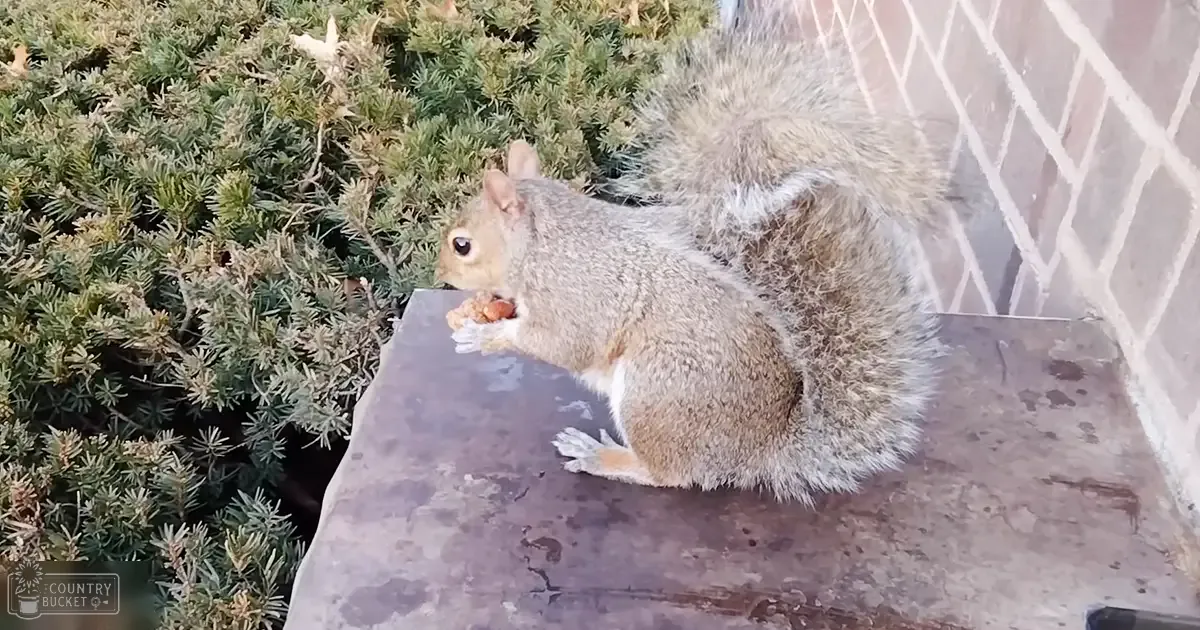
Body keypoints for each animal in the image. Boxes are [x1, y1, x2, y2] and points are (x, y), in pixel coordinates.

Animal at [433, 3, 950, 505]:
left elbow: (563, 343)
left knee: (668, 474)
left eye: (463, 245)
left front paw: (485, 336)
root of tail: (759, 450)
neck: (543, 242)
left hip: (657, 389)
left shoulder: (576, 295)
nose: (441, 275)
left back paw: (604, 456)